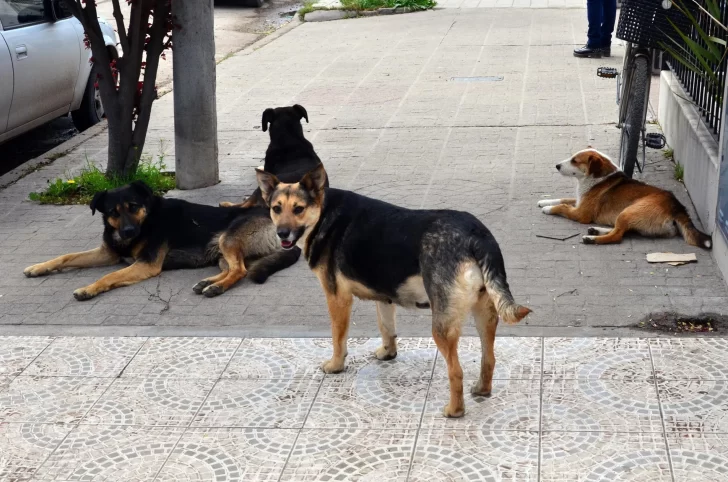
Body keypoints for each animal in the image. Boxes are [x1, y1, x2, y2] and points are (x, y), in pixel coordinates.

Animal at [24, 182, 298, 302]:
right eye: (113, 212)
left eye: (133, 207)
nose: (128, 232)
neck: (147, 220)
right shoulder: (107, 253)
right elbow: (67, 256)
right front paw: (38, 267)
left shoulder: (146, 263)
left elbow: (110, 276)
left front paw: (89, 289)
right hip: (222, 250)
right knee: (234, 268)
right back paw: (208, 283)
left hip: (227, 239)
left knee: (239, 270)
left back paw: (216, 288)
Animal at [256, 164, 528, 416]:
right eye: (276, 208)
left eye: (298, 209)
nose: (282, 233)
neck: (323, 213)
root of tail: (477, 235)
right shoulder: (384, 297)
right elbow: (386, 328)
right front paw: (388, 353)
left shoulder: (337, 299)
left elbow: (338, 338)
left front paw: (335, 365)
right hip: (485, 315)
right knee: (489, 358)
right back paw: (482, 389)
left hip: (442, 326)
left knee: (456, 371)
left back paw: (454, 410)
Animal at [536, 150, 712, 249]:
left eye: (575, 160)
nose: (557, 166)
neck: (599, 178)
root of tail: (677, 206)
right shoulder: (579, 201)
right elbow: (563, 199)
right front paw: (544, 202)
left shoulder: (581, 214)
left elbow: (563, 207)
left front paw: (548, 209)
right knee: (623, 230)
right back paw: (596, 231)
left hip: (628, 211)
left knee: (617, 236)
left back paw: (592, 238)